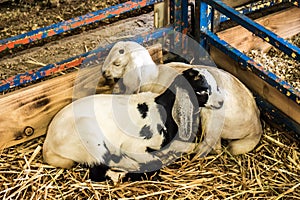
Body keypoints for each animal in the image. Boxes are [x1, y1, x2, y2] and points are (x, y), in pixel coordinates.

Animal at [43, 68, 206, 182]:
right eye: (201, 91)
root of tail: (48, 144)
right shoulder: (133, 146)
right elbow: (153, 160)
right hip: (89, 137)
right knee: (100, 169)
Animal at [102, 41, 262, 156]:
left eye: (117, 63)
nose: (103, 73)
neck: (154, 76)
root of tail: (256, 125)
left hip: (213, 115)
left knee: (213, 145)